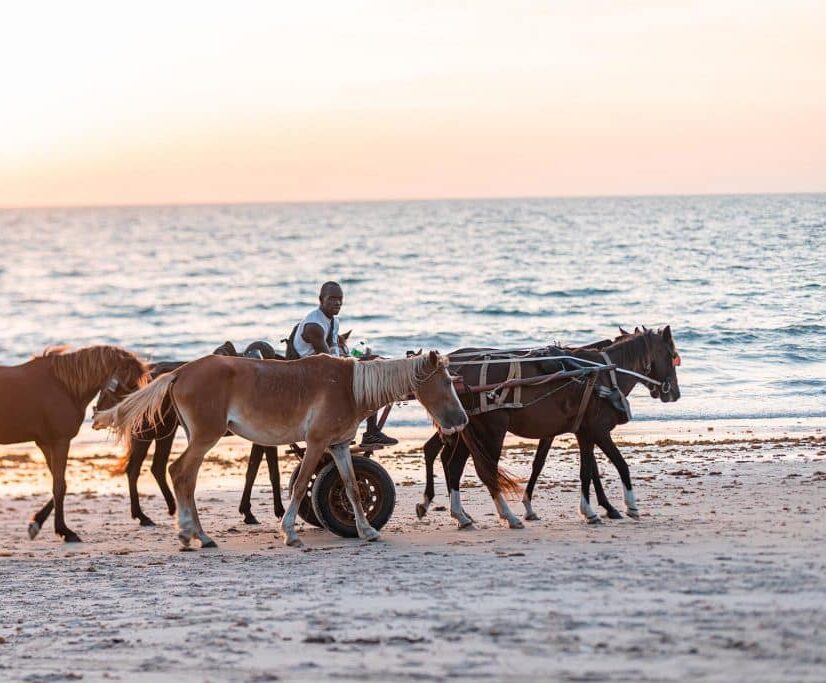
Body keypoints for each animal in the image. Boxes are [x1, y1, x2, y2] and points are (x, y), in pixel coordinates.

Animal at [0, 344, 150, 544]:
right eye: (130, 385)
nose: (139, 420)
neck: (63, 387)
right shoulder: (60, 442)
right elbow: (59, 486)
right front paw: (65, 531)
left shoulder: (46, 443)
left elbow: (59, 483)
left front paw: (37, 522)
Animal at [93, 350, 466, 548]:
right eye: (446, 382)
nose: (461, 420)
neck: (349, 387)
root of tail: (181, 371)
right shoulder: (316, 444)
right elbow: (301, 486)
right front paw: (289, 533)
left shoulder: (339, 446)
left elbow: (352, 488)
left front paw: (366, 529)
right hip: (204, 438)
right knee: (180, 474)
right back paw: (191, 534)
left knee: (185, 478)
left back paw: (197, 534)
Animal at [428, 328, 680, 532]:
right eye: (671, 355)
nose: (675, 393)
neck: (605, 374)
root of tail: (459, 376)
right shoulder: (598, 430)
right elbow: (620, 464)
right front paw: (629, 505)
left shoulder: (583, 432)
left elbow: (585, 470)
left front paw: (591, 510)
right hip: (491, 431)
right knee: (486, 471)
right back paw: (507, 516)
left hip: (469, 433)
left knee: (453, 465)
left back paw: (461, 515)